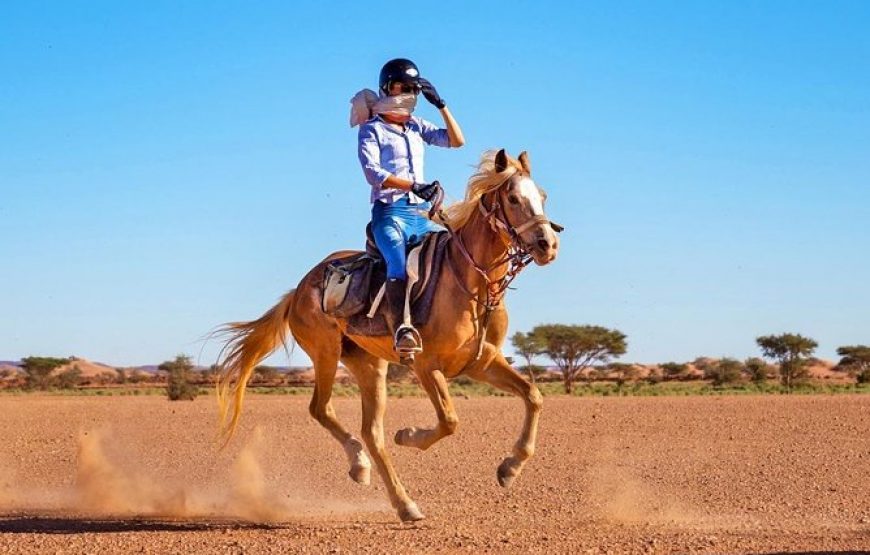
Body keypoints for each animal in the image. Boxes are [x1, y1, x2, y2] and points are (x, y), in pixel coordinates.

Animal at [215, 148, 560, 522]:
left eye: (542, 196)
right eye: (513, 198)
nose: (548, 244)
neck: (470, 283)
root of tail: (299, 289)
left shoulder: (482, 362)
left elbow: (533, 395)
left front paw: (509, 468)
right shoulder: (425, 365)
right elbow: (449, 420)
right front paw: (408, 435)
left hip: (369, 365)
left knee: (371, 432)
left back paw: (400, 500)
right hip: (326, 353)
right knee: (322, 409)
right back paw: (364, 469)